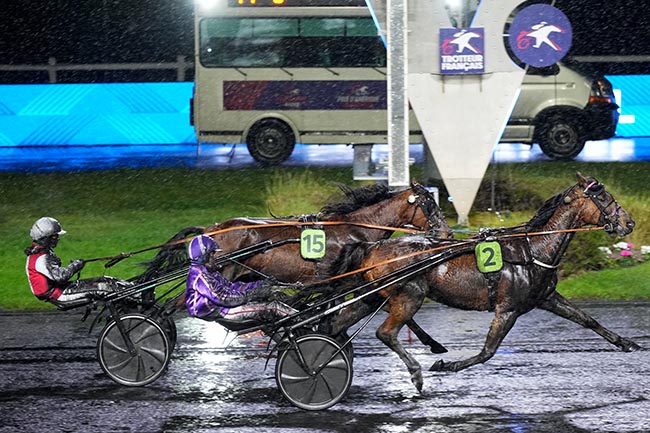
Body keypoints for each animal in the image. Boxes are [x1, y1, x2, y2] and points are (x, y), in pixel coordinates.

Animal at [330, 172, 636, 392]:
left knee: (336, 325)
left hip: (374, 296)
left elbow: (587, 320)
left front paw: (626, 342)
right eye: (604, 198)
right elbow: (487, 351)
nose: (629, 223)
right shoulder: (507, 309)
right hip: (408, 296)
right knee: (386, 333)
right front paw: (445, 365)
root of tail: (372, 247)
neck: (533, 250)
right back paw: (416, 373)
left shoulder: (547, 297)